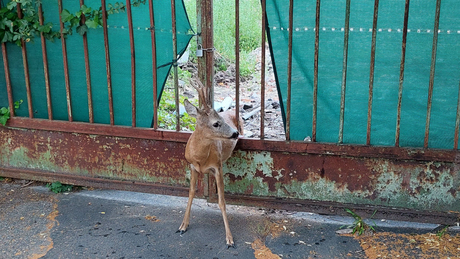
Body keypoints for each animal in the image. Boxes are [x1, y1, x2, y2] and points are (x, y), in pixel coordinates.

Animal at [177, 79, 244, 250]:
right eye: (216, 124)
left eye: (222, 120)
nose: (235, 133)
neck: (201, 159)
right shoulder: (192, 166)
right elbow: (191, 193)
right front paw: (183, 226)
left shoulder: (218, 167)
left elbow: (222, 201)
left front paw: (229, 239)